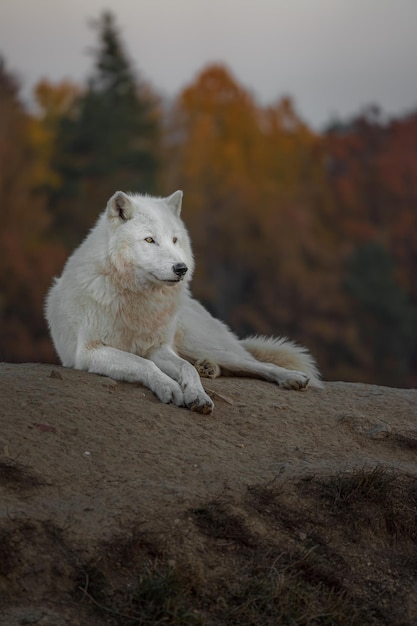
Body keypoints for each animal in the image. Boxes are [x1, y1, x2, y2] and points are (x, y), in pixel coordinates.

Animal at [45, 193, 320, 412]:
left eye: (175, 240)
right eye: (149, 240)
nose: (181, 268)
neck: (138, 300)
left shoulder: (159, 348)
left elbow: (186, 369)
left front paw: (198, 395)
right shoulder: (89, 352)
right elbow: (142, 363)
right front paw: (170, 387)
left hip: (201, 345)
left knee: (253, 363)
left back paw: (290, 377)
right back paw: (209, 368)